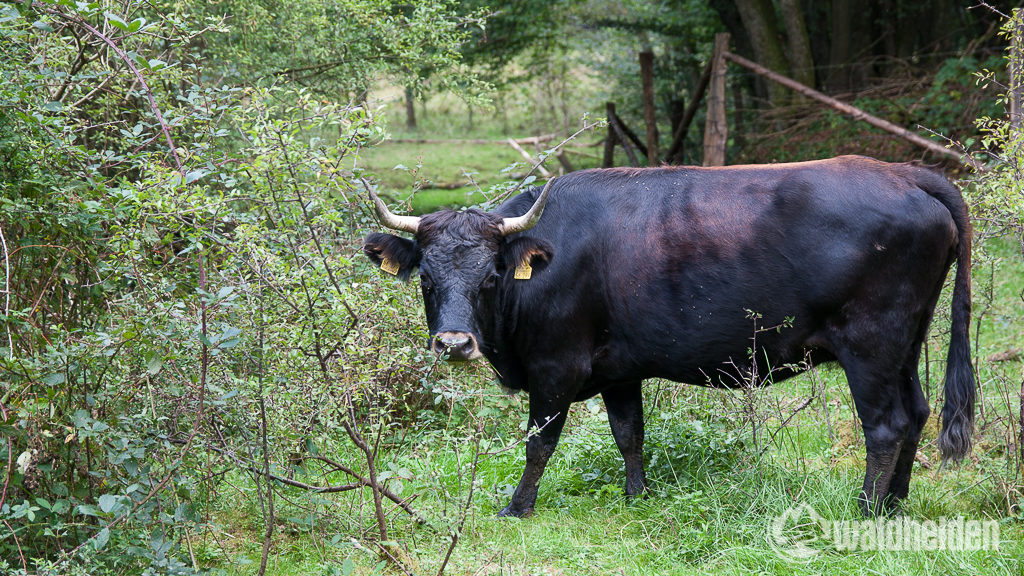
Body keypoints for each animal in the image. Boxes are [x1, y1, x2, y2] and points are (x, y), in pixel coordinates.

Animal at [362, 155, 974, 516]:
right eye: (427, 279)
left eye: (490, 277)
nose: (454, 345)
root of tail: (902, 172)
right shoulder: (618, 370)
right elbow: (628, 434)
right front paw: (637, 496)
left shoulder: (556, 367)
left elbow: (539, 442)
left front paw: (517, 507)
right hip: (906, 344)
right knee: (917, 413)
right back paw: (896, 503)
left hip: (870, 347)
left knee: (886, 426)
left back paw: (867, 508)